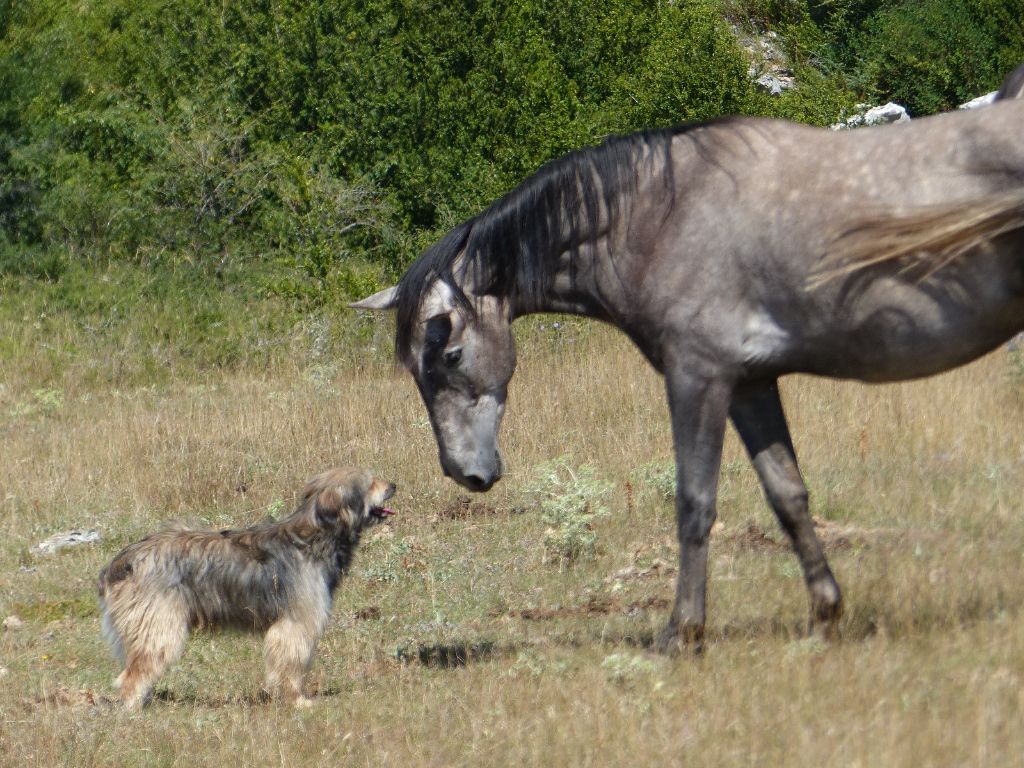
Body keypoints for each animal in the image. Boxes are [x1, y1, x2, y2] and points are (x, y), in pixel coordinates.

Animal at [97, 466, 395, 712]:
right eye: (370, 482)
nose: (393, 485)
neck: (314, 537)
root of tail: (123, 560)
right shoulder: (295, 625)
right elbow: (290, 663)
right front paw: (297, 700)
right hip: (159, 626)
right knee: (131, 676)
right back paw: (134, 708)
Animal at [352, 66, 1024, 655]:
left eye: (451, 354)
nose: (464, 472)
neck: (659, 218)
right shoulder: (751, 385)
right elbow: (788, 496)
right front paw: (824, 617)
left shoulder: (698, 378)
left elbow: (694, 503)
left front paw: (683, 633)